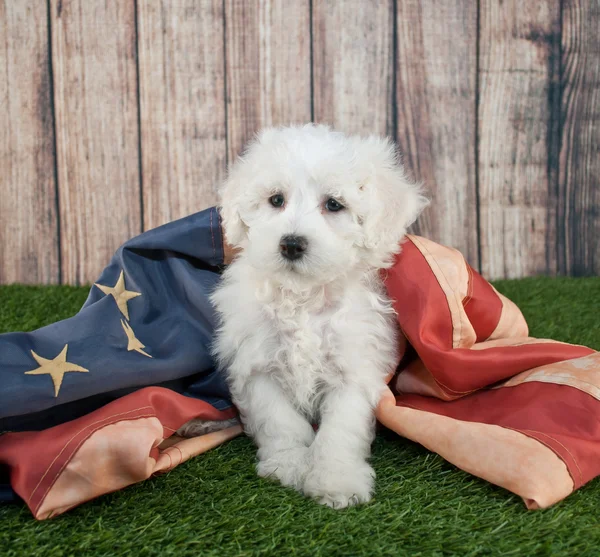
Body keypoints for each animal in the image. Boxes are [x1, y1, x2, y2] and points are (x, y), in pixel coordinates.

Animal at [211, 126, 426, 508]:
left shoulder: (353, 369)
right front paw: (288, 465)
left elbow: (340, 431)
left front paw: (336, 481)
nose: (291, 243)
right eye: (276, 200)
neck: (304, 299)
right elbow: (280, 421)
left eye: (334, 205)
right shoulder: (257, 365)